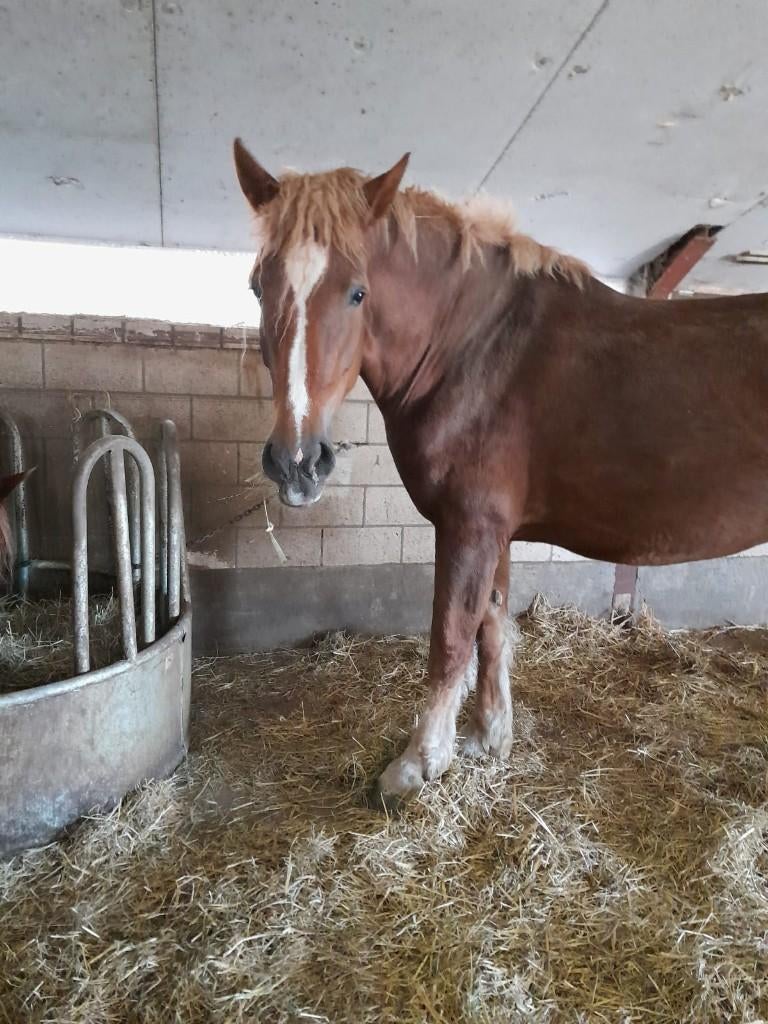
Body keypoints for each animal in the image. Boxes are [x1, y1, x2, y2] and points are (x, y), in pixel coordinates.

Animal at [232, 138, 768, 808]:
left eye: (357, 293)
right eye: (258, 287)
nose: (297, 462)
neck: (478, 349)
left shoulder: (470, 525)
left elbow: (451, 635)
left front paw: (417, 764)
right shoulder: (495, 531)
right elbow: (491, 624)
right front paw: (488, 738)